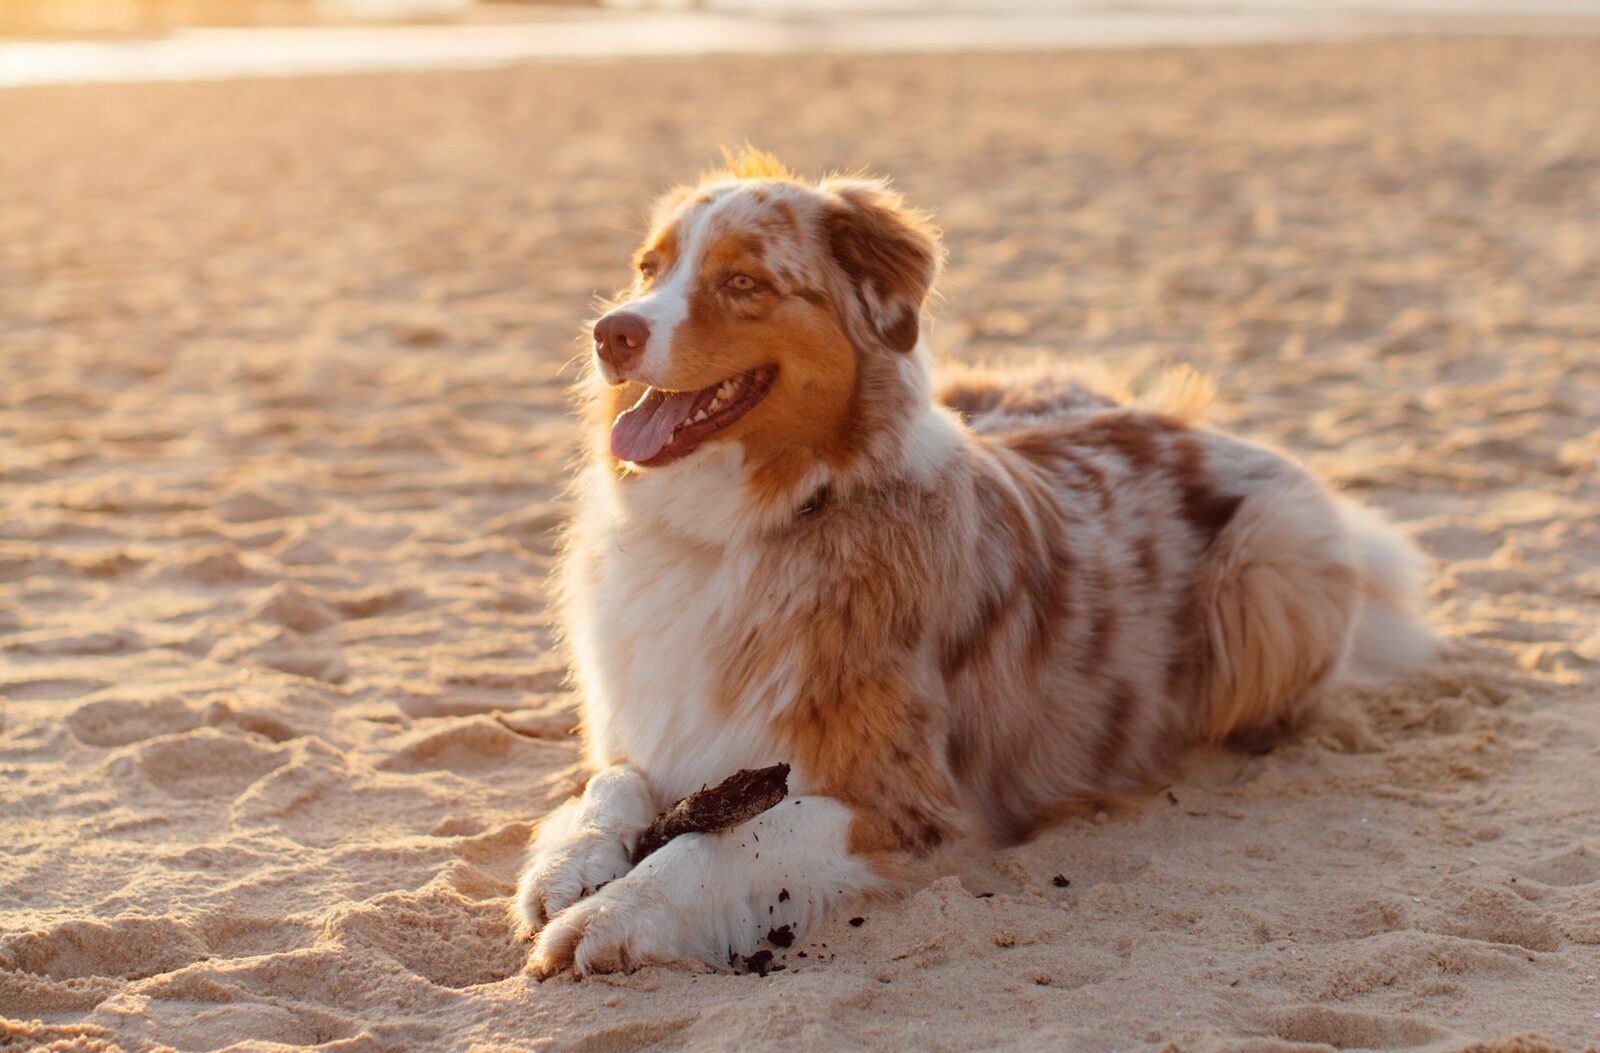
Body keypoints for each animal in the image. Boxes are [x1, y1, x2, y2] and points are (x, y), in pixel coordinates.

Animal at [512, 147, 1440, 972]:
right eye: (648, 269)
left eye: (744, 282)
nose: (610, 332)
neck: (737, 528)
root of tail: (1192, 421)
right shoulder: (649, 729)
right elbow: (607, 787)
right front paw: (570, 864)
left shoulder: (910, 803)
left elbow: (726, 840)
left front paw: (619, 913)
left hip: (1270, 569)